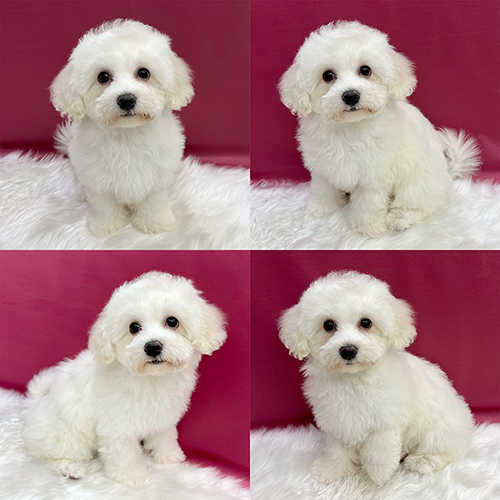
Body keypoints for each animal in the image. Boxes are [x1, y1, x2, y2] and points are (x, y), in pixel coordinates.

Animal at [22, 271, 226, 488]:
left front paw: (170, 457)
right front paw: (131, 477)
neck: (151, 378)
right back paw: (71, 468)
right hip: (69, 435)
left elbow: (165, 436)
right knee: (54, 454)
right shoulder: (117, 427)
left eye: (172, 321)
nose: (152, 346)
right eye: (134, 327)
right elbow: (124, 453)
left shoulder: (163, 416)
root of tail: (33, 408)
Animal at [50, 20, 194, 237]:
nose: (126, 99)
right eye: (103, 77)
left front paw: (156, 224)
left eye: (143, 73)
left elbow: (154, 200)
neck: (128, 133)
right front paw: (106, 226)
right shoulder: (98, 178)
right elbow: (104, 204)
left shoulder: (157, 174)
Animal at [279, 21, 481, 237]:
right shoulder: (323, 165)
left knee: (421, 203)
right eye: (328, 75)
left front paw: (367, 228)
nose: (351, 96)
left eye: (365, 70)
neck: (350, 127)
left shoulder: (374, 175)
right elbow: (323, 186)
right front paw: (321, 207)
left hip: (418, 184)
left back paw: (400, 218)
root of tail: (448, 173)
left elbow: (368, 203)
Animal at [279, 270, 474, 485]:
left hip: (440, 426)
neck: (353, 378)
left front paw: (378, 475)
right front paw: (332, 470)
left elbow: (379, 448)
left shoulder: (386, 419)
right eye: (328, 325)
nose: (348, 350)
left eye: (366, 322)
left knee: (446, 449)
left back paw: (422, 460)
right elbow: (337, 449)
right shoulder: (338, 418)